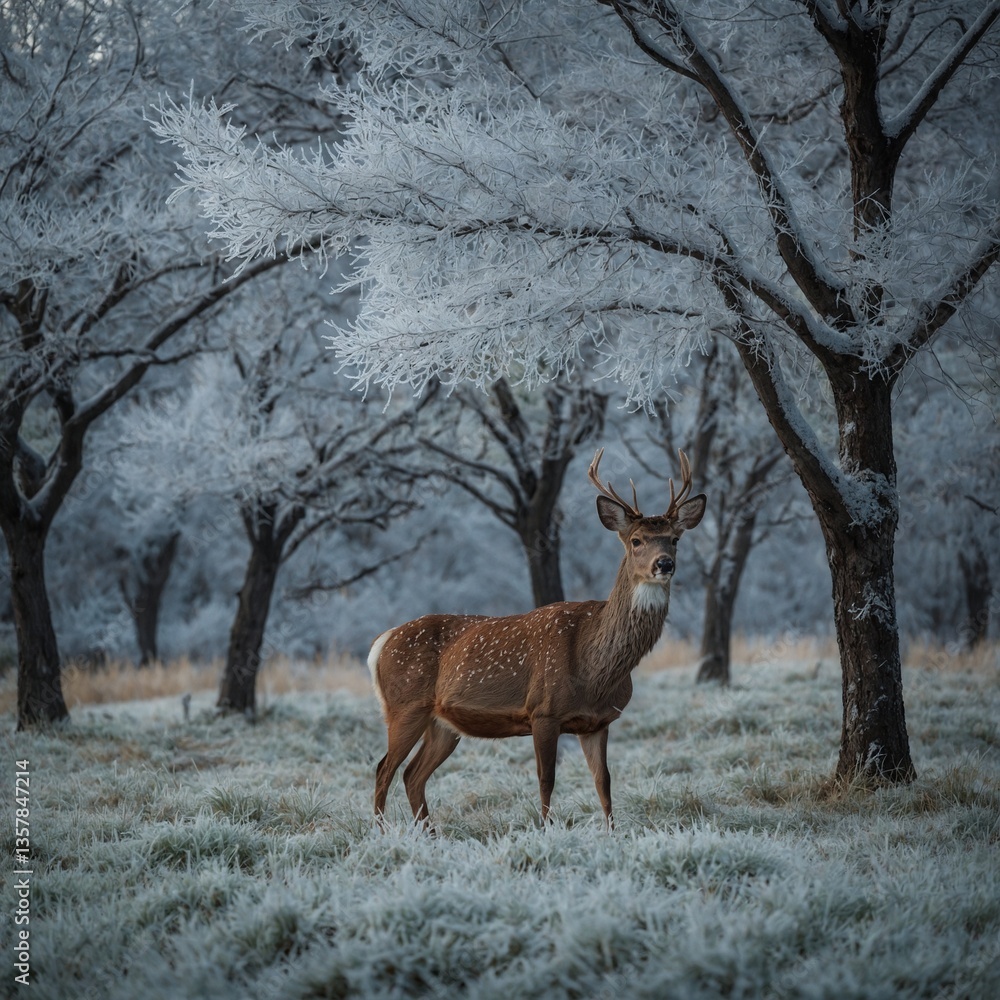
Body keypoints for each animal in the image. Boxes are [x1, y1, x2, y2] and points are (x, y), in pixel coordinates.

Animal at [368, 448, 707, 828]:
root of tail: (381, 642)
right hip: (404, 706)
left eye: (675, 539)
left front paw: (611, 832)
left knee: (412, 774)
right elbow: (547, 779)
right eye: (636, 541)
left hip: (442, 724)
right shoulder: (543, 710)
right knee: (383, 770)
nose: (664, 564)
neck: (595, 670)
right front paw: (546, 830)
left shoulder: (598, 721)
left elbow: (603, 782)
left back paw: (428, 834)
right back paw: (381, 833)